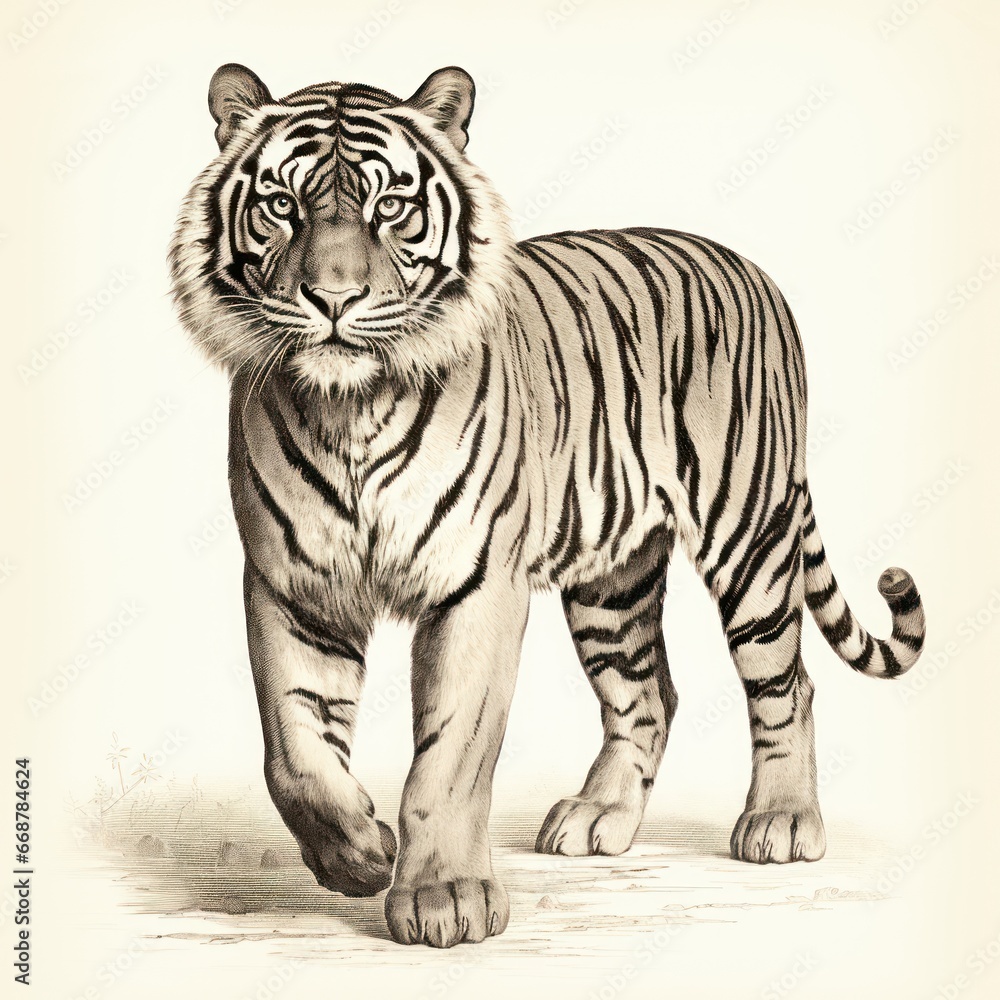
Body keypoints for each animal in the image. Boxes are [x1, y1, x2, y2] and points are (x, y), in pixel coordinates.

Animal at [169, 63, 926, 949]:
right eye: (282, 205)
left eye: (390, 206)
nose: (332, 298)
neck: (351, 407)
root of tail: (750, 269)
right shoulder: (290, 585)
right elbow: (293, 753)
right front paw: (358, 852)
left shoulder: (476, 586)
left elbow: (451, 754)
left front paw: (445, 899)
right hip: (612, 583)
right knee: (648, 694)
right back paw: (599, 817)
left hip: (750, 535)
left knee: (787, 682)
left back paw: (780, 823)